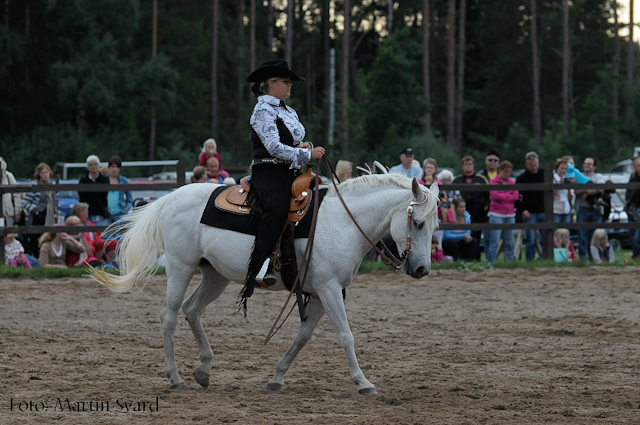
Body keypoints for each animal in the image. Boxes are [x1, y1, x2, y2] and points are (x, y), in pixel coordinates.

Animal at [91, 172, 440, 394]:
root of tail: (172, 196)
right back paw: (174, 377)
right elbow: (345, 335)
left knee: (192, 310)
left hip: (215, 275)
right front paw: (363, 382)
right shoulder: (328, 288)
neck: (341, 221)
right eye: (417, 222)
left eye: (435, 224)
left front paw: (277, 377)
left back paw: (204, 370)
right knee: (170, 314)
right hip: (180, 266)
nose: (422, 269)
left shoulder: (322, 292)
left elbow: (303, 337)